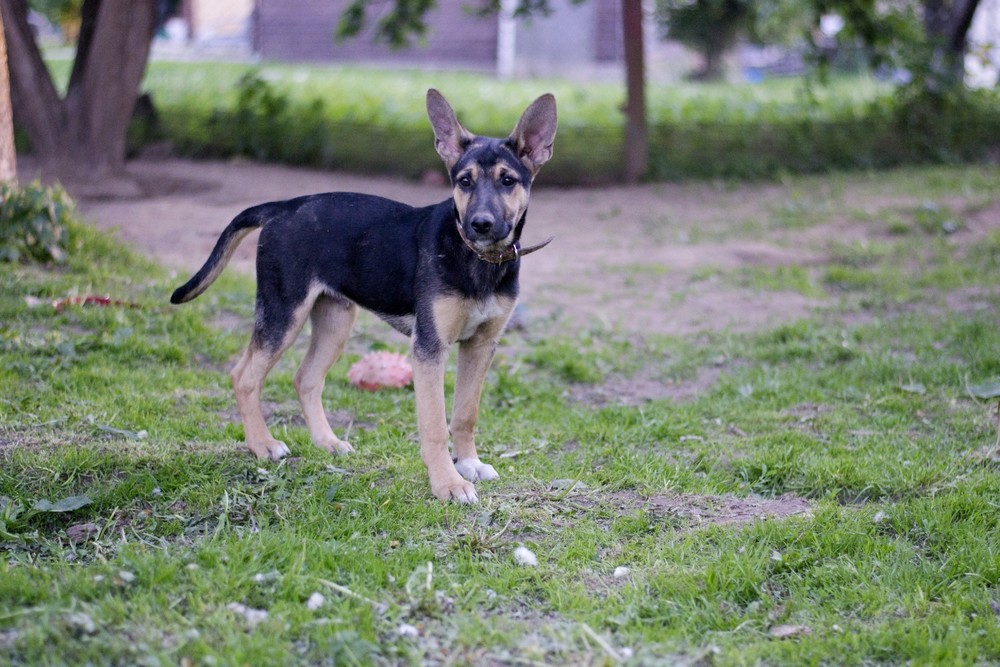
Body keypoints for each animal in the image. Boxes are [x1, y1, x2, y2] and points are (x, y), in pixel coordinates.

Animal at [171, 90, 556, 506]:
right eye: (464, 181)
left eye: (508, 181)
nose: (480, 224)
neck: (478, 260)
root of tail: (285, 206)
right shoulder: (429, 348)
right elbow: (435, 425)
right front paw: (448, 483)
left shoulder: (481, 346)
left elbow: (465, 414)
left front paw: (469, 463)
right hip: (283, 311)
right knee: (243, 377)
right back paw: (263, 445)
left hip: (336, 320)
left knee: (305, 379)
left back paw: (327, 442)